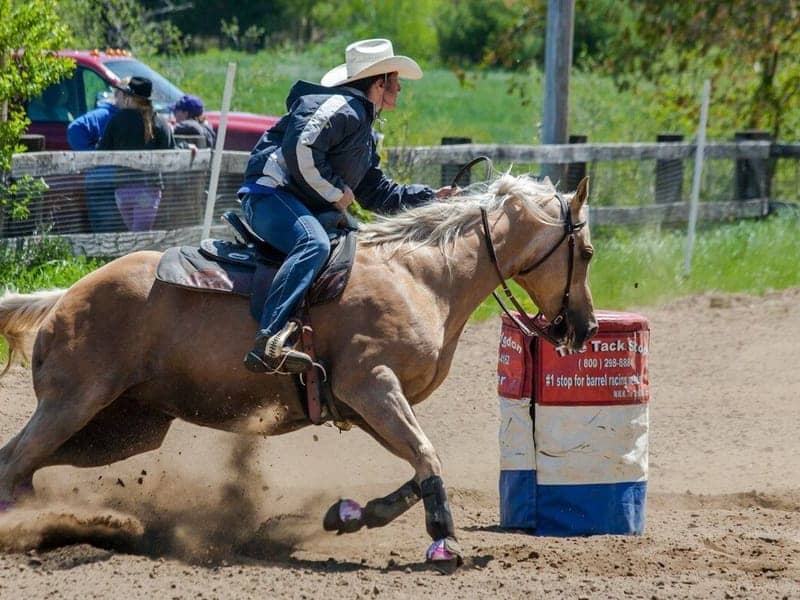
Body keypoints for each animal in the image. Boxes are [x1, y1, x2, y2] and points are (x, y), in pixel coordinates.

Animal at [0, 173, 597, 571]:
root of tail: (63, 299)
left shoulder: (362, 406)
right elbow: (428, 455)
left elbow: (419, 466)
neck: (421, 276)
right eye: (587, 251)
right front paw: (443, 541)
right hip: (74, 404)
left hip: (122, 429)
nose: (586, 327)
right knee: (14, 462)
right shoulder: (372, 386)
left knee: (20, 464)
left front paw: (351, 515)